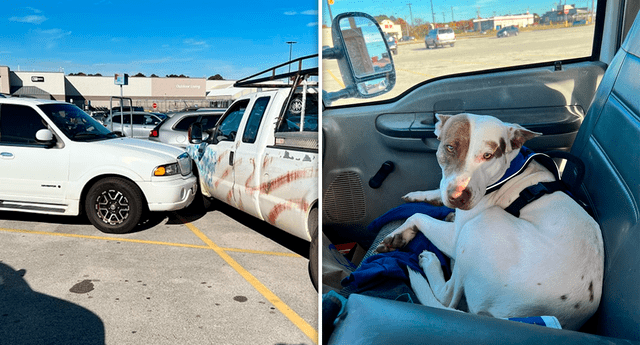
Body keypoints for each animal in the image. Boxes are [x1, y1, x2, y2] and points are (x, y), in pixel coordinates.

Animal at [378, 113, 604, 330]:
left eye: (488, 155)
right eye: (450, 147)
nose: (459, 197)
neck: (508, 172)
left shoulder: (454, 237)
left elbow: (417, 216)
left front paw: (397, 234)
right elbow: (436, 193)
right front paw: (419, 196)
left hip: (478, 227)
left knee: (448, 296)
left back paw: (432, 262)